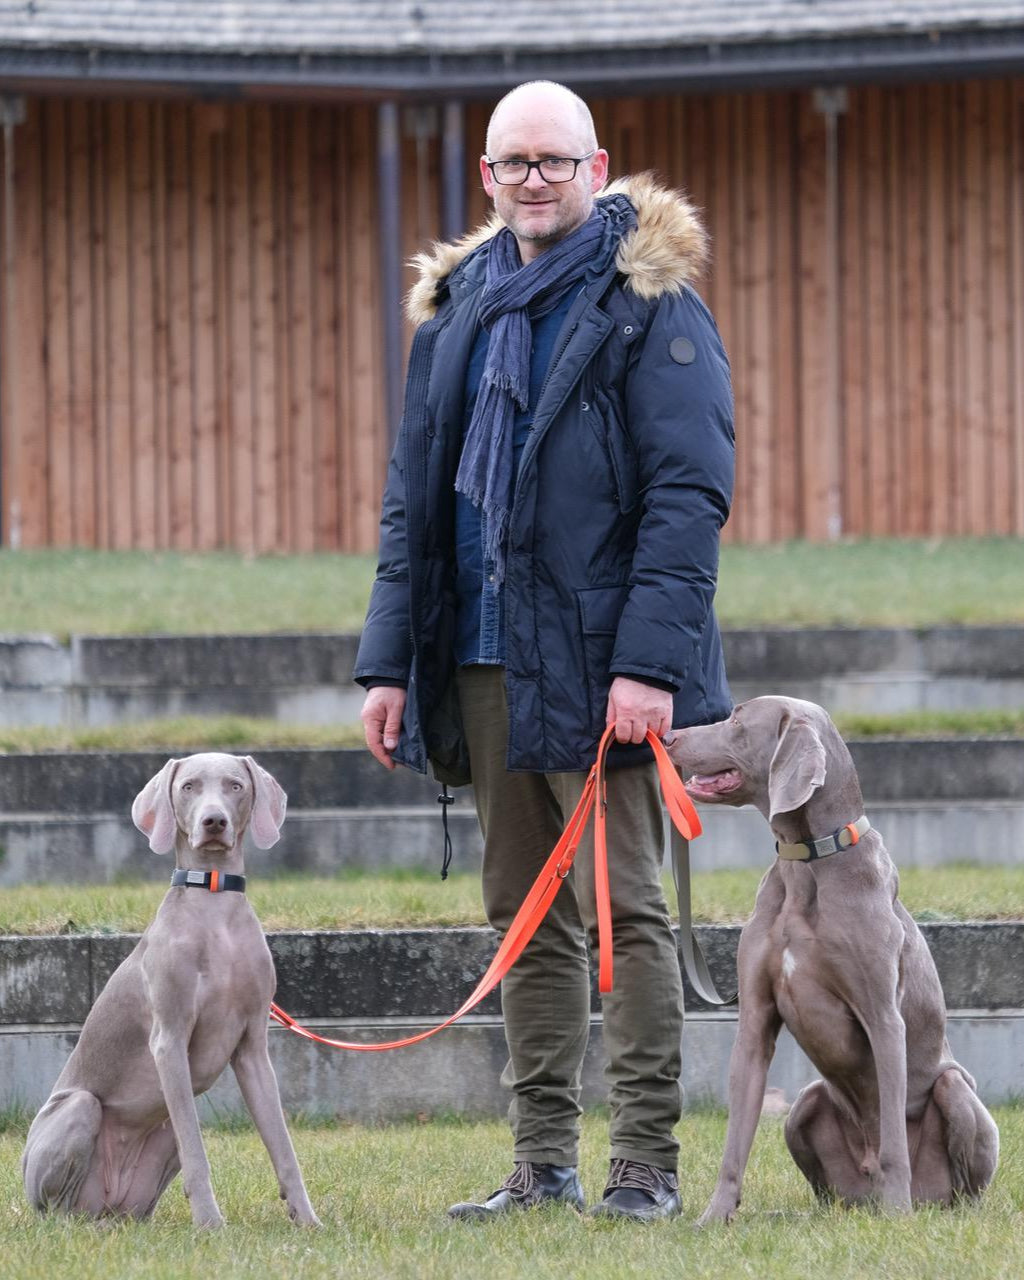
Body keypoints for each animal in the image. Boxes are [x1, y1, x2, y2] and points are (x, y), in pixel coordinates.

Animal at [23, 747, 320, 1228]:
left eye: (236, 785)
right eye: (188, 786)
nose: (214, 821)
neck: (215, 904)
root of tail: (107, 1206)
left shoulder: (253, 1047)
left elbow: (282, 1145)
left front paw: (308, 1220)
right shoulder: (170, 1039)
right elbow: (198, 1154)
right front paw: (211, 1224)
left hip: (154, 1152)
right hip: (76, 1108)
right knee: (58, 1210)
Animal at [665, 701, 998, 1218]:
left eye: (738, 720)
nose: (669, 735)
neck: (808, 861)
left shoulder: (884, 1016)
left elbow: (893, 1138)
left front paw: (897, 1217)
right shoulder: (755, 1017)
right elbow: (735, 1139)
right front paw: (714, 1217)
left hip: (956, 1092)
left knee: (960, 1179)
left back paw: (915, 1209)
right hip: (805, 1103)